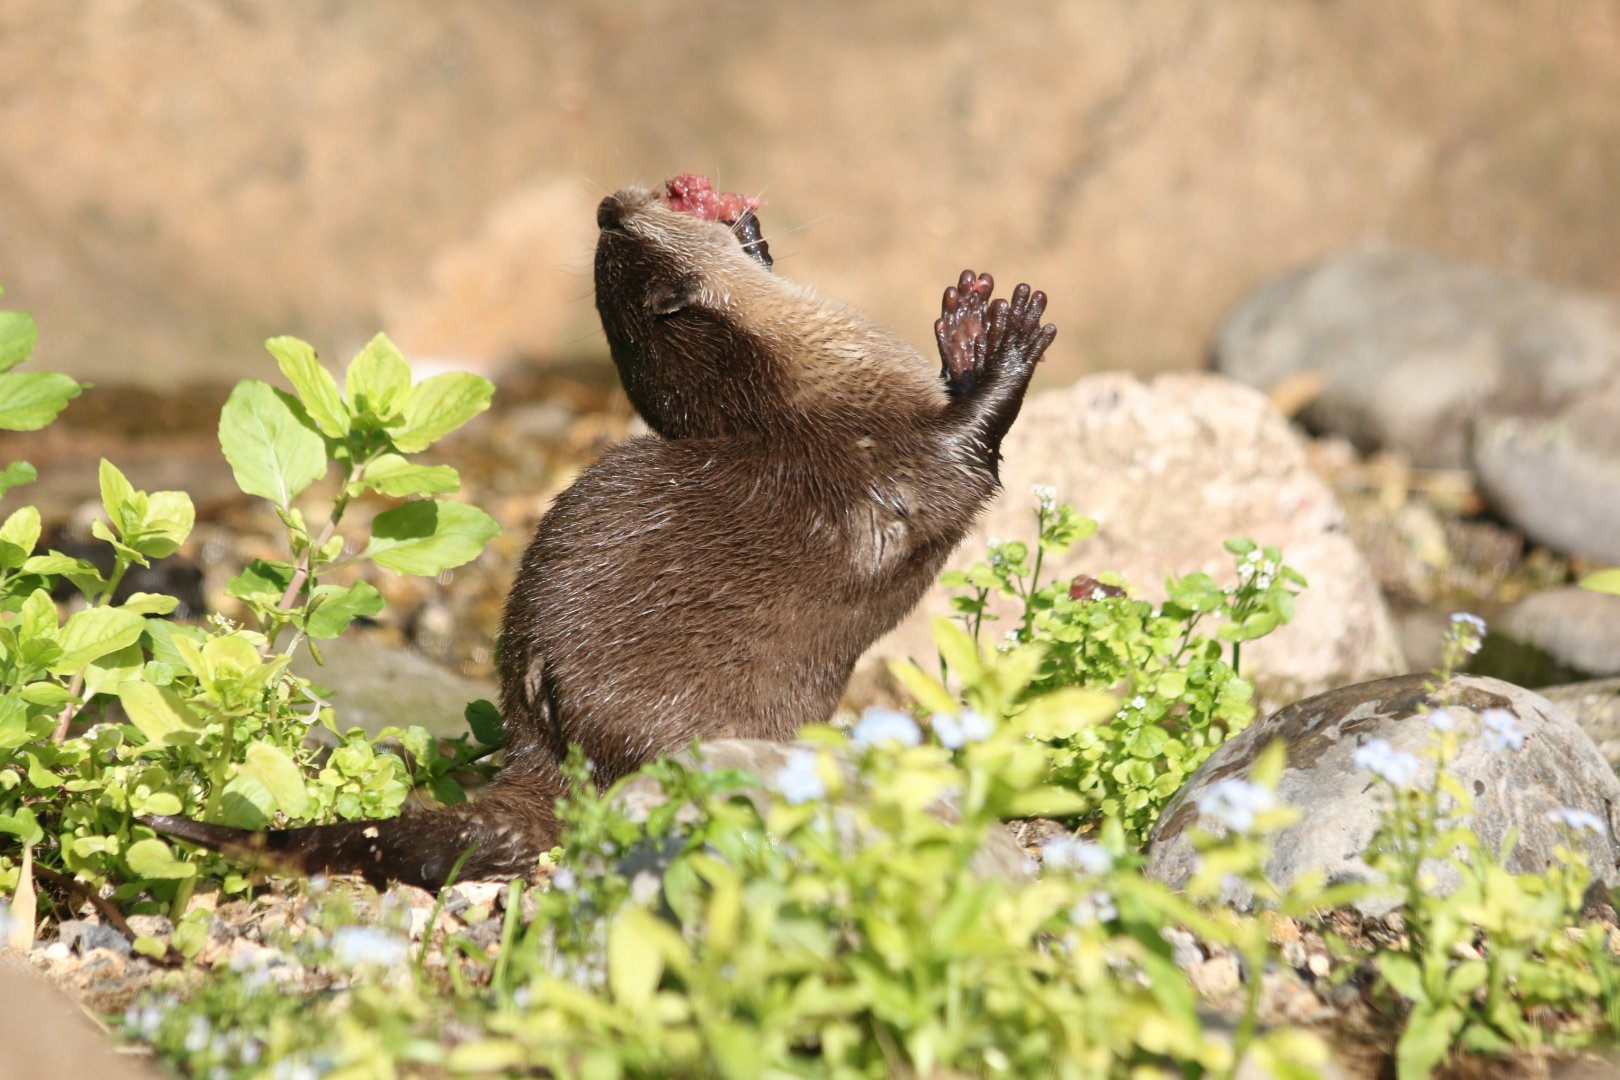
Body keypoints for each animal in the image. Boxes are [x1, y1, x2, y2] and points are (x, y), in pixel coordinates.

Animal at [145, 176, 1056, 888]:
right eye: (621, 232)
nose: (607, 204)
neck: (803, 394)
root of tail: (546, 745)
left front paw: (961, 325)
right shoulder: (898, 462)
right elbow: (971, 448)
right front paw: (1006, 347)